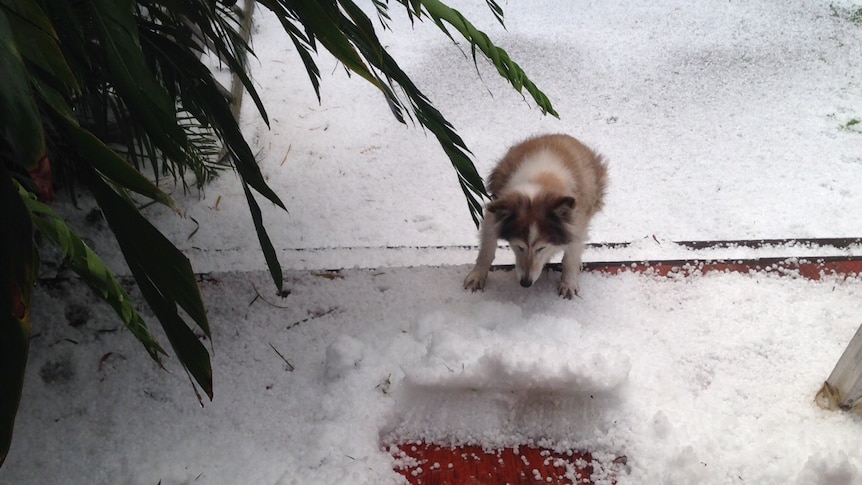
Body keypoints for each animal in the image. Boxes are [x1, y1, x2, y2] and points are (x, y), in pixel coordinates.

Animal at [466, 133, 608, 298]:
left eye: (541, 248)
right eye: (519, 247)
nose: (525, 283)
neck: (542, 181)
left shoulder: (577, 223)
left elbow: (570, 257)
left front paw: (568, 285)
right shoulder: (494, 213)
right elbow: (486, 249)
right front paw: (477, 276)